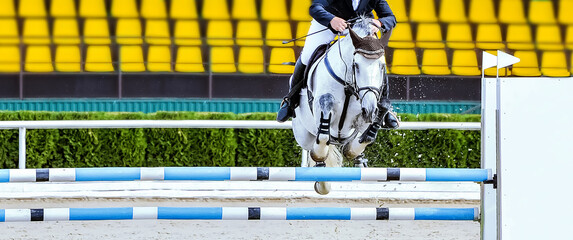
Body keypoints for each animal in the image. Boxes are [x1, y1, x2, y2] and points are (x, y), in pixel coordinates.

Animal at [292, 16, 392, 193]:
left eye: (382, 66)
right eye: (356, 65)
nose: (369, 110)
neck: (349, 86)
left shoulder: (365, 114)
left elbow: (366, 136)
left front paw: (353, 150)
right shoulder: (323, 105)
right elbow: (323, 134)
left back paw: (359, 160)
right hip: (303, 134)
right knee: (313, 146)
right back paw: (322, 180)